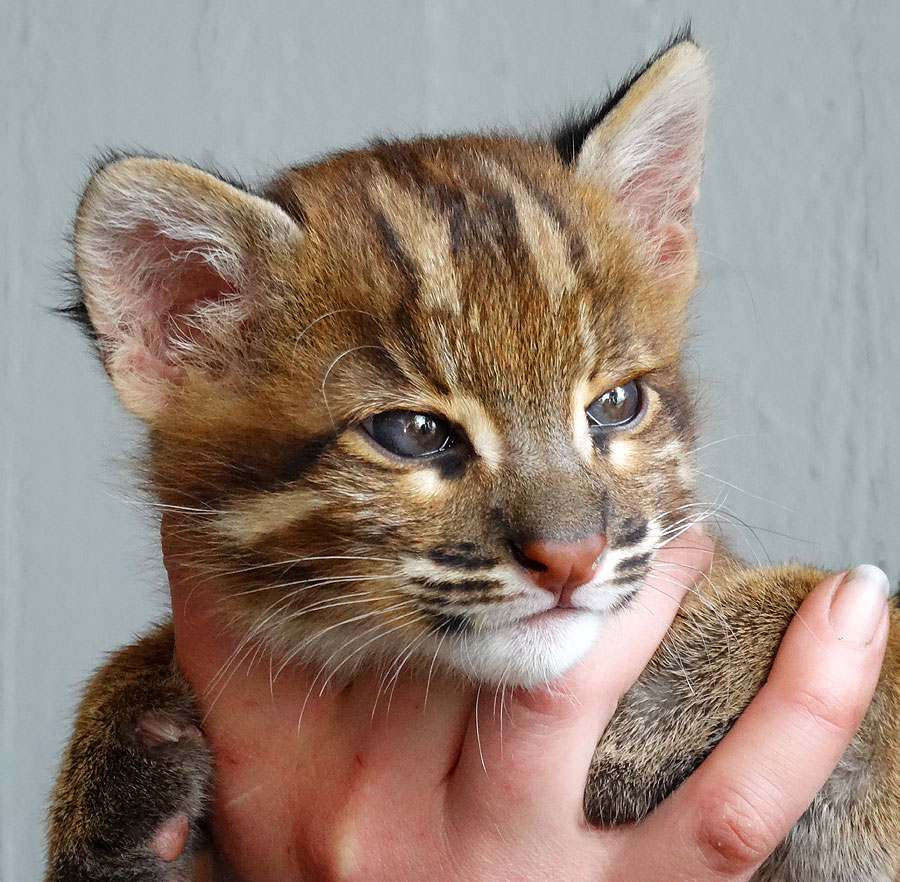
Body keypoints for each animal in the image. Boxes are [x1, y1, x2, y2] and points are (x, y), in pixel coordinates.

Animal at [44, 34, 900, 880]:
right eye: (417, 433)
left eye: (616, 406)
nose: (572, 558)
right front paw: (113, 775)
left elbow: (870, 623)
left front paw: (662, 704)